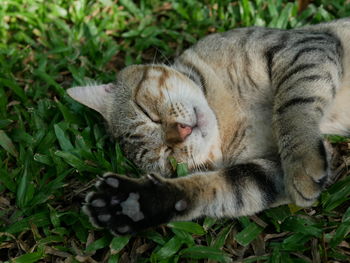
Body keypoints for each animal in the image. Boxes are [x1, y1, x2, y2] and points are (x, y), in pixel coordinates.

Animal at [66, 19, 350, 236]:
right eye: (168, 158)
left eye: (147, 113)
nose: (180, 133)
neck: (226, 114)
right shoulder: (270, 171)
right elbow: (226, 188)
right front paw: (137, 203)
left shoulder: (304, 47)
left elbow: (292, 106)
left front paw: (302, 160)